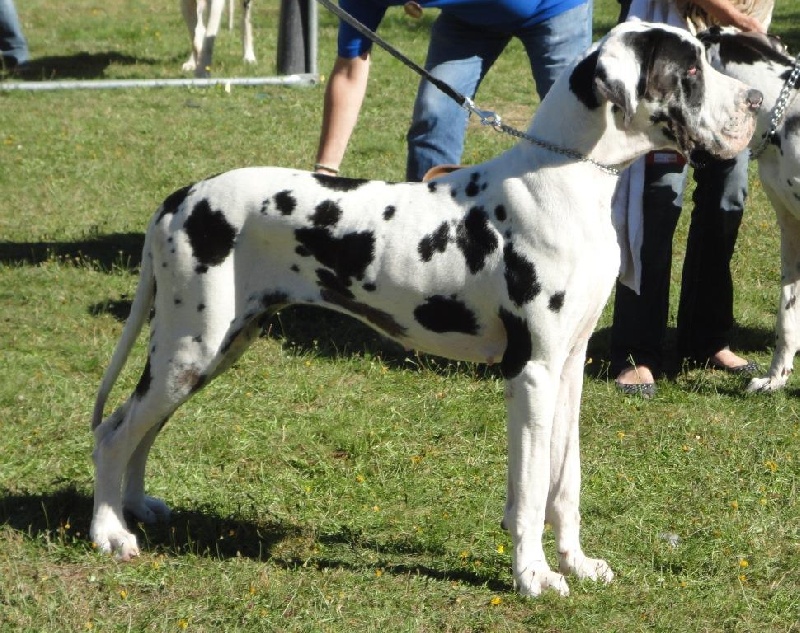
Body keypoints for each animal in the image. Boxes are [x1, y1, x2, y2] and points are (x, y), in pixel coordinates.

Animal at [90, 23, 760, 596]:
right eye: (689, 71)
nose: (757, 99)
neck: (564, 179)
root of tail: (182, 197)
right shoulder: (532, 373)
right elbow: (529, 490)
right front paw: (534, 577)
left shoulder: (569, 367)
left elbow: (564, 481)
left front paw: (576, 562)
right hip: (190, 346)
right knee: (114, 431)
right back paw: (109, 532)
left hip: (211, 350)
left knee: (143, 428)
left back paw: (137, 506)